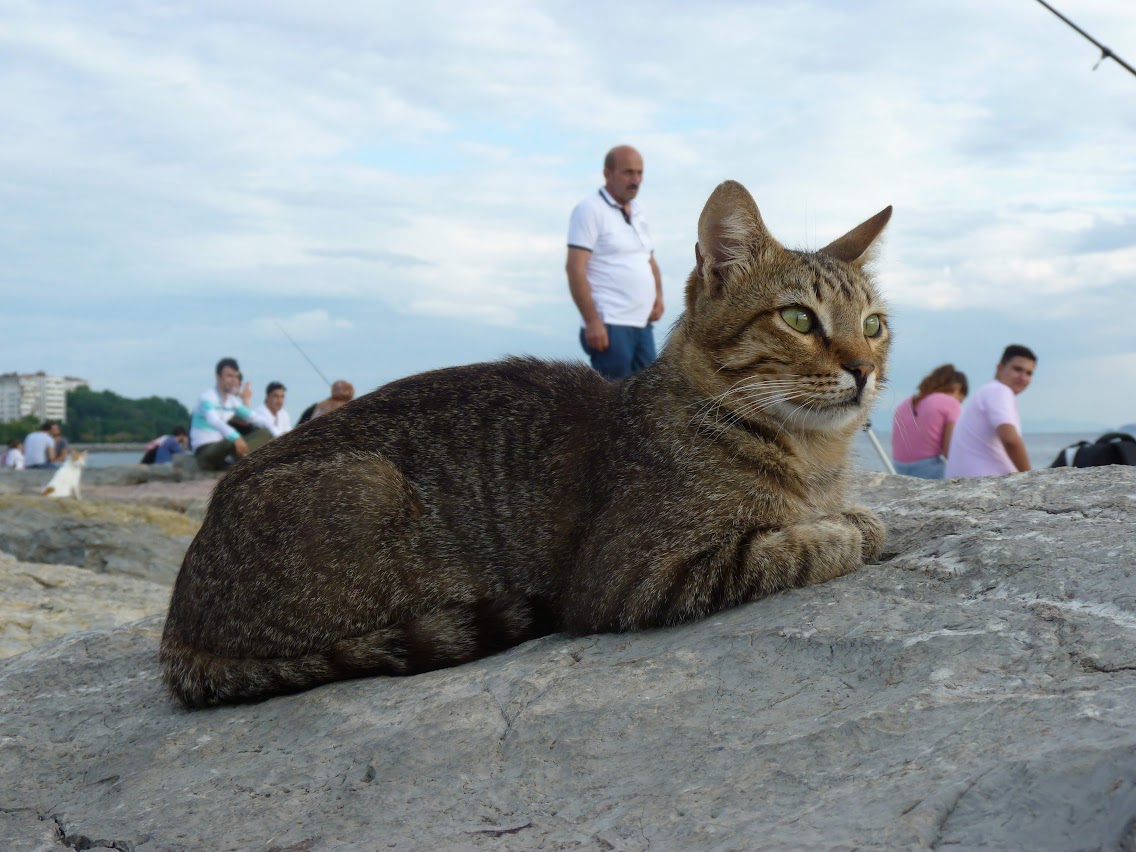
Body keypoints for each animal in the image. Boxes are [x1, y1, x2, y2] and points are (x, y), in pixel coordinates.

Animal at [160, 180, 890, 708]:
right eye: (798, 319)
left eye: (874, 325)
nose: (864, 369)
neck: (810, 457)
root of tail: (176, 626)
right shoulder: (627, 578)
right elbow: (791, 547)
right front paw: (841, 530)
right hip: (369, 486)